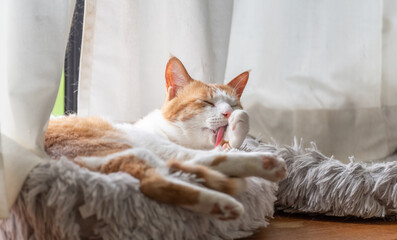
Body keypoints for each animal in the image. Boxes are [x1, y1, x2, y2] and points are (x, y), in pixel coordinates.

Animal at [44, 56, 286, 221]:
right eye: (206, 102)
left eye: (233, 104)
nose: (228, 113)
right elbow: (219, 149)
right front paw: (240, 124)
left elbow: (228, 144)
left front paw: (237, 123)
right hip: (134, 143)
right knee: (187, 163)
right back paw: (264, 164)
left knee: (155, 182)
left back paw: (219, 204)